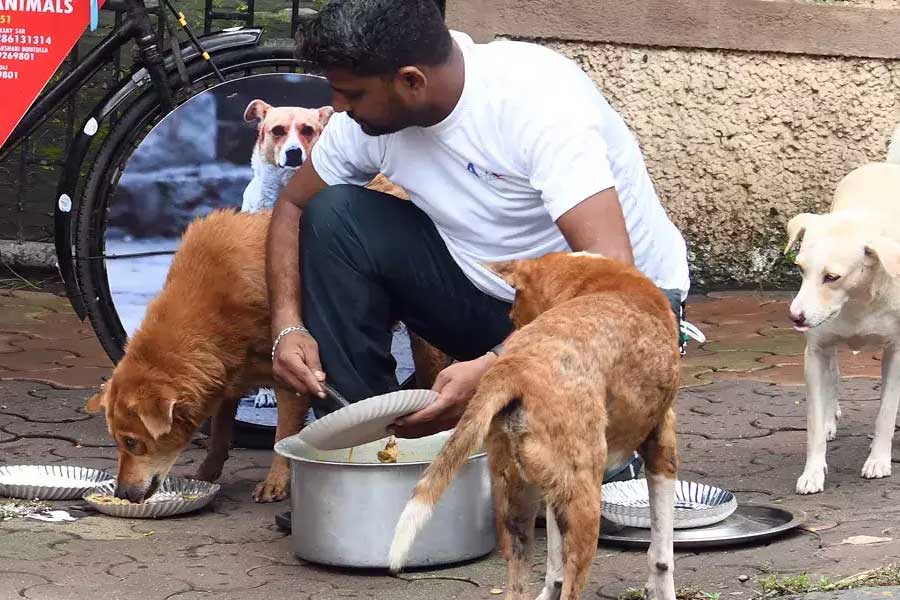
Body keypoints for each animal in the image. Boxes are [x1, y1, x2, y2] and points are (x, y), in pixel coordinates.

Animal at [83, 209, 446, 504]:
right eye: (117, 442)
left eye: (132, 443)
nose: (123, 495)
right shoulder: (226, 373)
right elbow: (220, 430)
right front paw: (207, 473)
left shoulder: (293, 376)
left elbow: (282, 435)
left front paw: (276, 482)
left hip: (426, 344)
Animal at [390, 252, 680, 600]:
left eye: (513, 312)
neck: (597, 280)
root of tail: (516, 368)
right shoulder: (662, 446)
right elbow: (661, 556)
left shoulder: (553, 490)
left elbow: (553, 568)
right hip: (584, 506)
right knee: (573, 582)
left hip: (517, 506)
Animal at [784, 124, 900, 494]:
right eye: (800, 269)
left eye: (832, 277)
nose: (796, 317)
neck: (857, 300)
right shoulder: (815, 351)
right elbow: (813, 424)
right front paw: (813, 471)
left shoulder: (896, 352)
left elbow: (886, 411)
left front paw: (879, 459)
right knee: (833, 375)